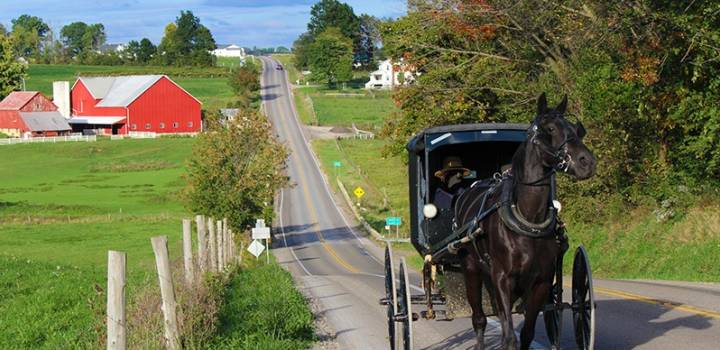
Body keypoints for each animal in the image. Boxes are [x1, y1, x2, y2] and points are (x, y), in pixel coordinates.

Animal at [456, 93, 596, 350]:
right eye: (550, 128)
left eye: (576, 129)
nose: (587, 162)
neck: (528, 219)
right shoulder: (503, 278)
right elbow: (509, 336)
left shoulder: (541, 283)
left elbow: (527, 333)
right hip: (471, 267)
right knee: (479, 318)